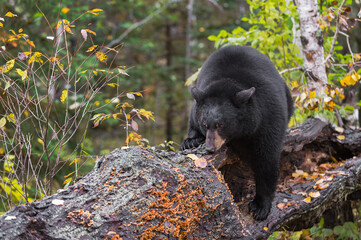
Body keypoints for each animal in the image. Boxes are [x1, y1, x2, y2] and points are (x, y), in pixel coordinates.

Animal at [180, 45, 292, 221]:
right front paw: (190, 140)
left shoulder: (267, 115)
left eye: (221, 124)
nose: (210, 148)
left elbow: (267, 157)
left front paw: (260, 206)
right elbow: (192, 119)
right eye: (205, 125)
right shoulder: (198, 105)